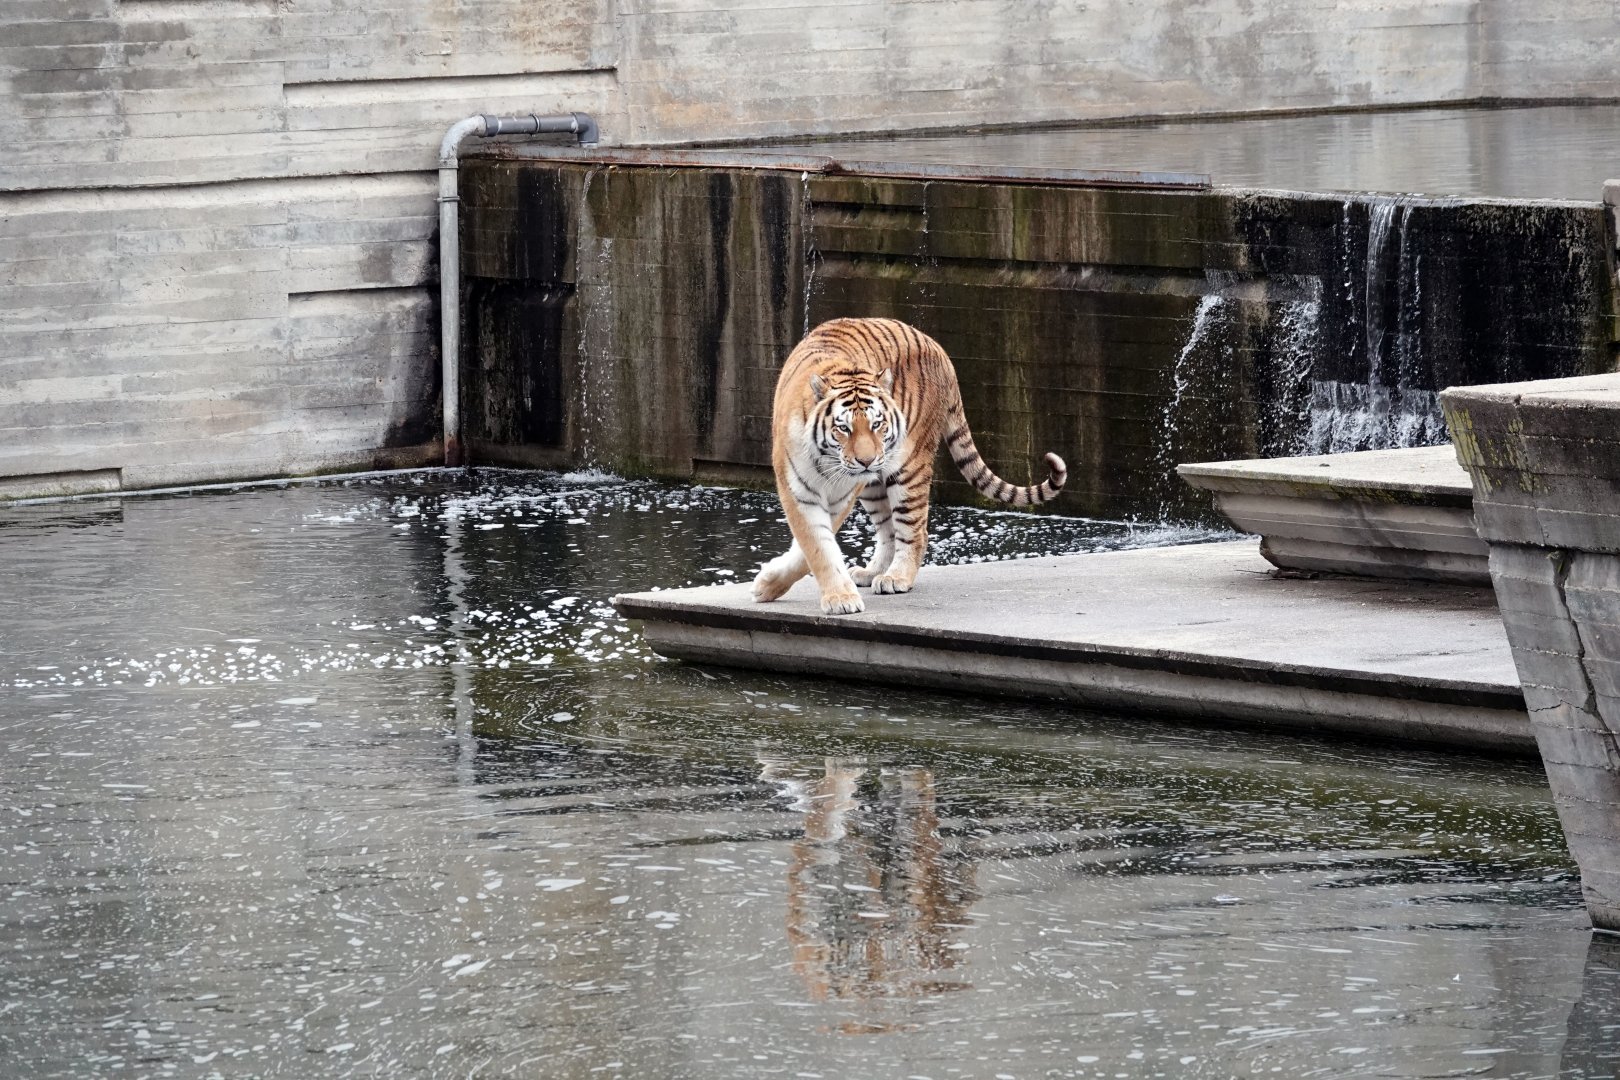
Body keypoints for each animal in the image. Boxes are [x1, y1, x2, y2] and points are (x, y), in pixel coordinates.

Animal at [752, 317, 1067, 615]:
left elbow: (812, 550)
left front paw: (826, 596)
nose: (866, 460)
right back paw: (872, 572)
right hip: (873, 485)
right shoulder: (800, 491)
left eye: (876, 424)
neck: (828, 461)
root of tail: (937, 347)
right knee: (888, 530)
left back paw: (897, 578)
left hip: (907, 467)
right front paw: (821, 593)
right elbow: (816, 546)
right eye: (844, 428)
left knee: (914, 530)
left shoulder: (840, 495)